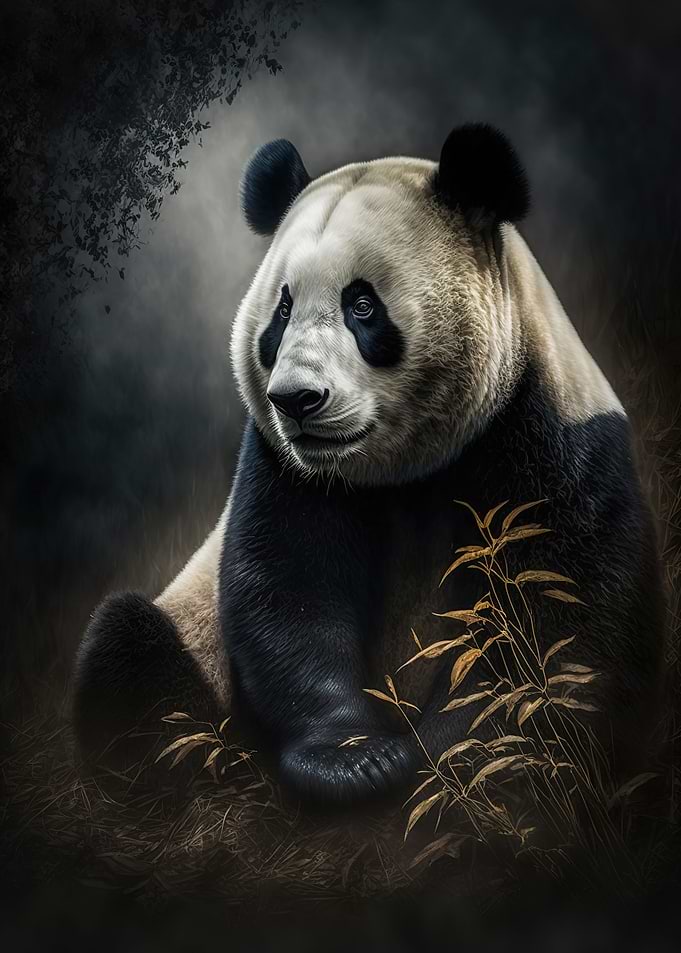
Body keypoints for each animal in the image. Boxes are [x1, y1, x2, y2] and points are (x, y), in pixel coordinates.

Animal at [74, 123, 664, 805]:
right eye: (281, 310)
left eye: (362, 306)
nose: (297, 399)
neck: (401, 471)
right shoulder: (284, 467)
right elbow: (288, 592)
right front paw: (357, 759)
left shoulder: (558, 448)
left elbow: (545, 625)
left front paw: (450, 765)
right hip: (190, 636)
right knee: (131, 650)